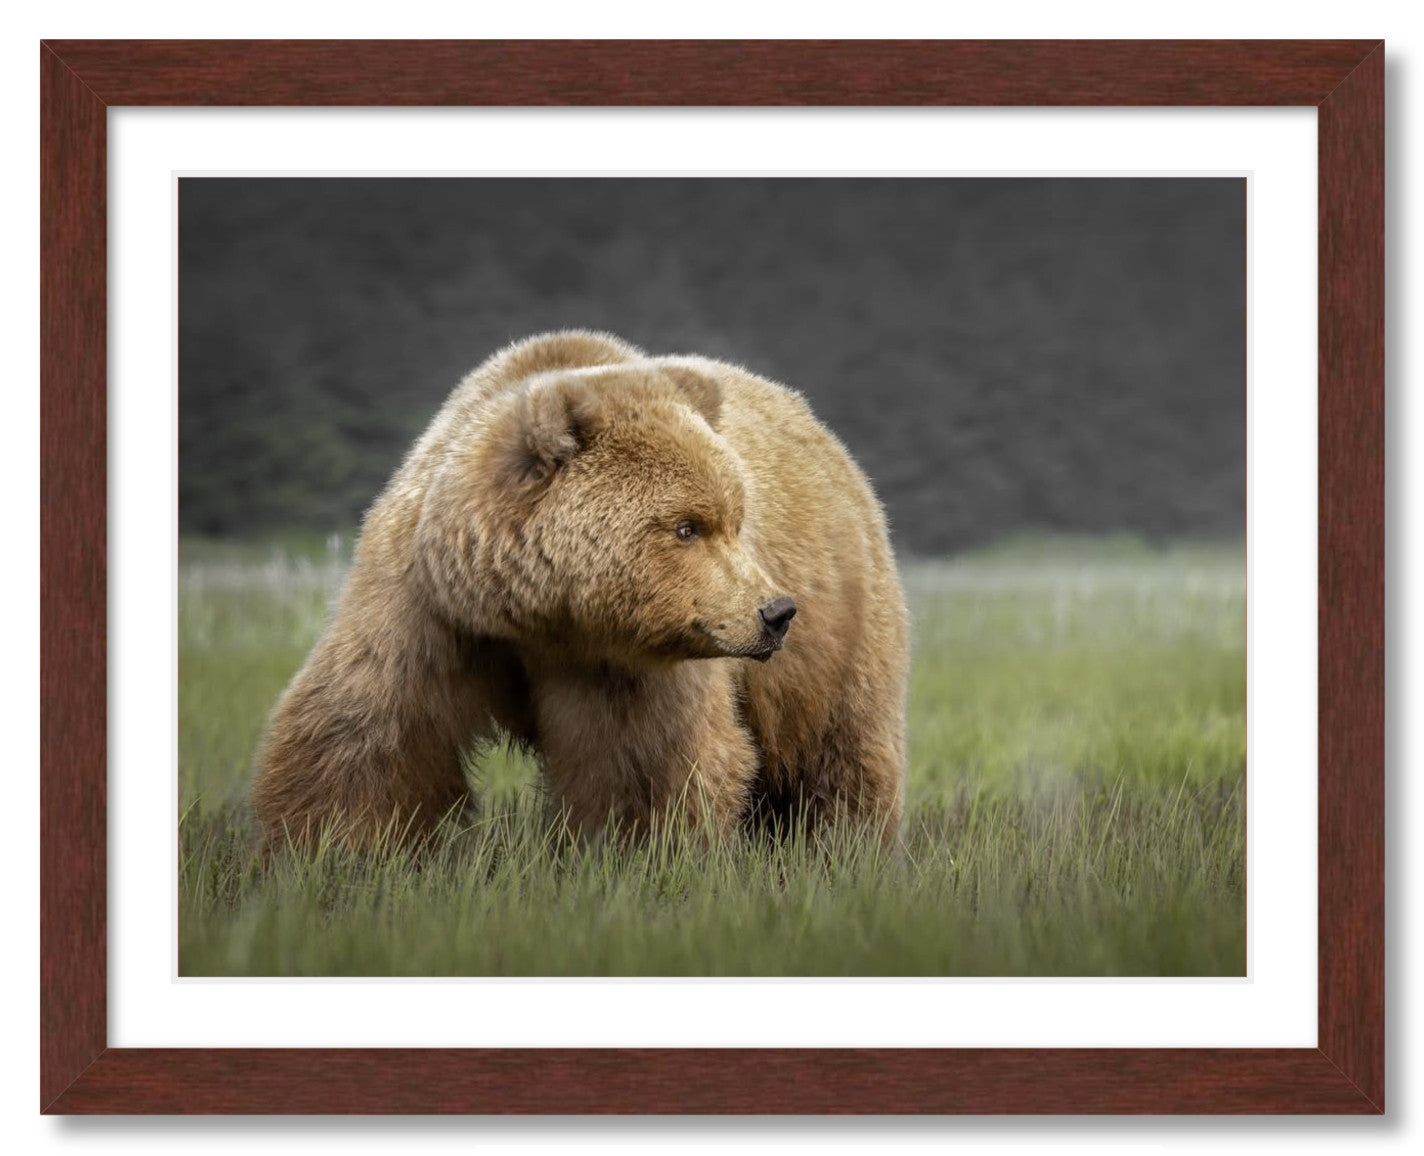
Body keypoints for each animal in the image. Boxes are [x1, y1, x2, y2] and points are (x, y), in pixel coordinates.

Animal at [250, 331, 909, 851]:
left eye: (735, 521)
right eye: (687, 527)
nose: (775, 611)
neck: (534, 614)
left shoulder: (625, 663)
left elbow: (644, 765)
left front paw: (635, 856)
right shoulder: (428, 606)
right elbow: (366, 733)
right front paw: (327, 852)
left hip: (842, 630)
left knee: (841, 751)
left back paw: (844, 847)